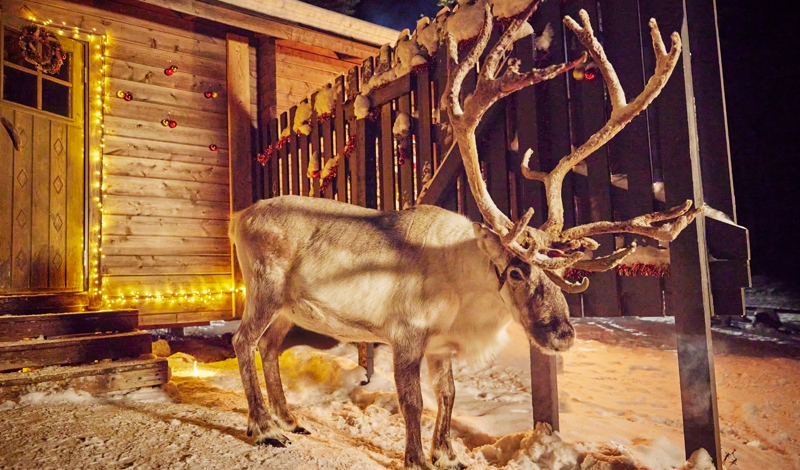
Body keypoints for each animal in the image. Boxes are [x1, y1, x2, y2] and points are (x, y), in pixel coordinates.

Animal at [228, 2, 700, 469]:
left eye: (566, 276)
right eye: (516, 271)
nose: (564, 335)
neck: (465, 293)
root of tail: (239, 217)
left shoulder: (441, 347)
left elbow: (448, 396)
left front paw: (448, 455)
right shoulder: (407, 334)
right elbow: (413, 401)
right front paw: (417, 459)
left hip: (287, 308)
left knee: (269, 347)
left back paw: (289, 420)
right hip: (265, 288)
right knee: (243, 341)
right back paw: (265, 429)